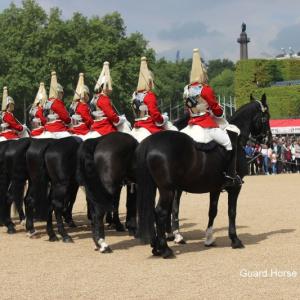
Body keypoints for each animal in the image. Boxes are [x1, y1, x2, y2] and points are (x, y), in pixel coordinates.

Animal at [136, 94, 272, 258]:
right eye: (266, 117)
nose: (269, 141)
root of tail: (150, 142)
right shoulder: (235, 187)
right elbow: (231, 212)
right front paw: (235, 239)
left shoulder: (215, 188)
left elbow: (212, 211)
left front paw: (209, 239)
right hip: (167, 189)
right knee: (161, 212)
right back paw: (166, 249)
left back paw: (157, 247)